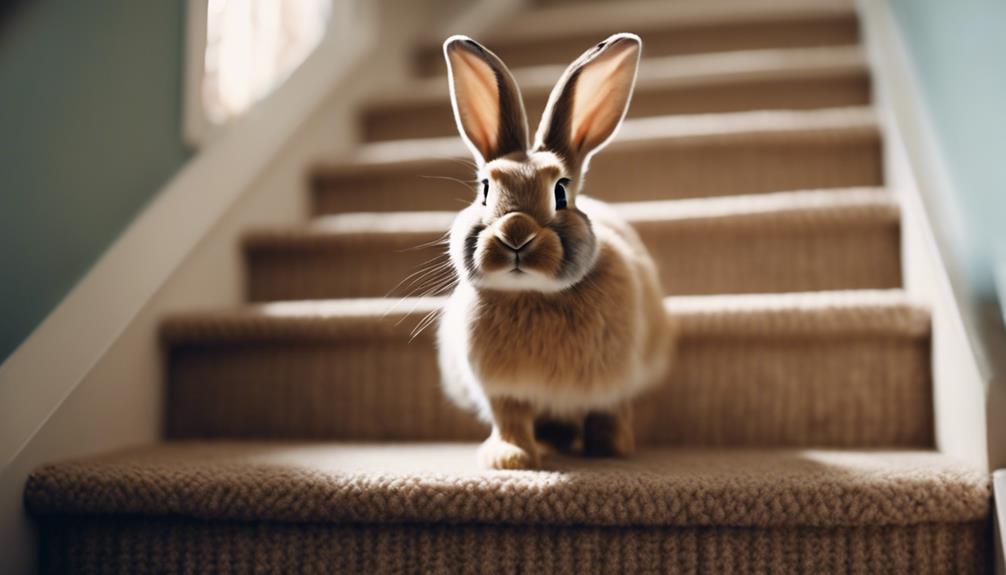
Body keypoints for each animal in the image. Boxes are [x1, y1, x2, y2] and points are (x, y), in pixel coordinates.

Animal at [436, 33, 674, 470]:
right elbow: (510, 418)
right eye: (485, 190)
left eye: (560, 192)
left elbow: (607, 411)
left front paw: (611, 448)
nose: (515, 233)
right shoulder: (503, 390)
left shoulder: (613, 384)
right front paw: (509, 459)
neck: (533, 294)